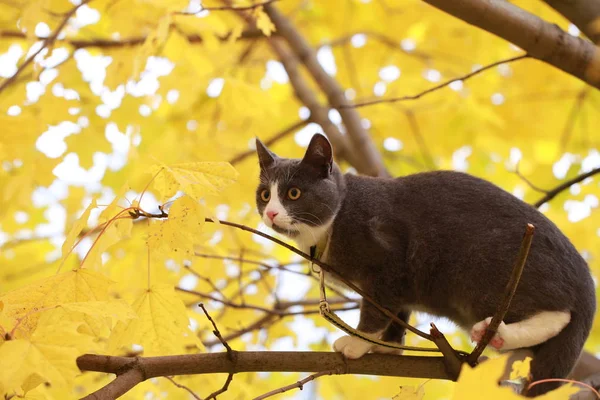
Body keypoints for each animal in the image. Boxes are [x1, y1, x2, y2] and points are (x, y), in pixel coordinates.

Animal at [254, 133, 596, 396]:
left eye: (293, 193)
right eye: (264, 194)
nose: (270, 213)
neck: (330, 226)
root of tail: (586, 287)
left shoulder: (388, 260)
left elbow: (377, 309)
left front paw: (358, 341)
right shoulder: (400, 285)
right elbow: (397, 310)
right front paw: (388, 346)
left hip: (490, 270)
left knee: (559, 313)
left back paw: (497, 331)